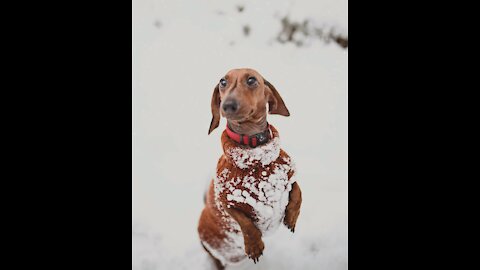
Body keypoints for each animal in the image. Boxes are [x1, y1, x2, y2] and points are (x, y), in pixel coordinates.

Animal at [197, 68, 302, 268]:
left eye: (252, 80)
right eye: (222, 82)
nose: (227, 106)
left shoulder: (290, 176)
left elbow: (298, 194)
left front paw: (291, 218)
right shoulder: (226, 202)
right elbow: (245, 222)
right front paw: (254, 245)